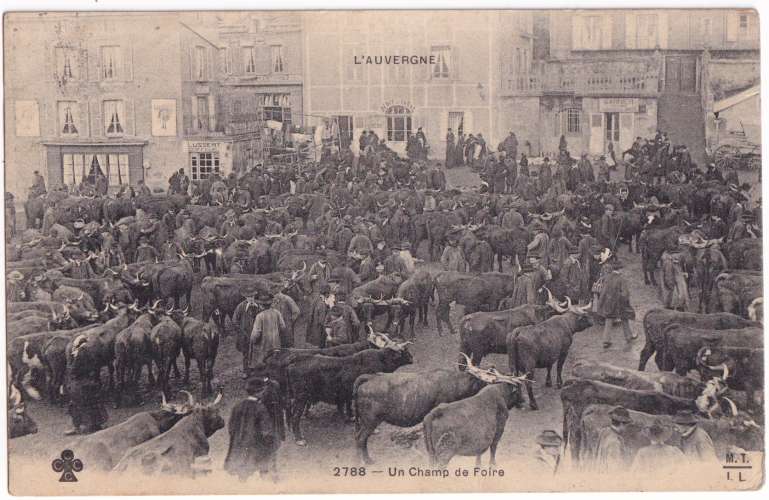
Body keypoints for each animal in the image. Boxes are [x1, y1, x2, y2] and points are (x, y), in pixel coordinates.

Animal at [284, 344, 412, 446]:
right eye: (403, 352)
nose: (412, 358)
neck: (381, 359)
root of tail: (295, 361)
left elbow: (349, 406)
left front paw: (350, 417)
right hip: (301, 398)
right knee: (295, 418)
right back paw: (299, 439)